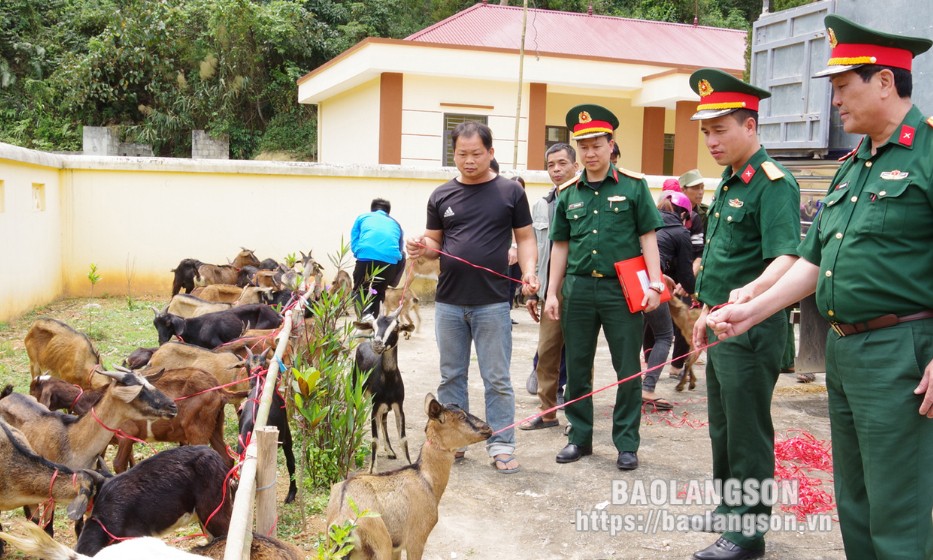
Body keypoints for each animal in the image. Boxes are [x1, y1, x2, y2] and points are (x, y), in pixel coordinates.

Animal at [110, 368, 248, 472]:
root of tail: (218, 389)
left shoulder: (126, 435)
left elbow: (118, 464)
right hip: (215, 427)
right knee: (227, 459)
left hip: (197, 430)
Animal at [324, 394, 492, 560]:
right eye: (461, 416)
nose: (488, 428)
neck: (425, 479)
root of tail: (342, 519)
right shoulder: (416, 538)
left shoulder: (396, 547)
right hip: (382, 543)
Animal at [354, 306, 412, 472]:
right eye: (374, 327)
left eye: (396, 328)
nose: (378, 344)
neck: (389, 382)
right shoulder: (375, 405)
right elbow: (374, 439)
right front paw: (372, 469)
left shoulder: (399, 406)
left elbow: (403, 439)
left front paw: (409, 464)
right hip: (357, 391)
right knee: (358, 415)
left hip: (385, 406)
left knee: (383, 420)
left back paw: (390, 451)